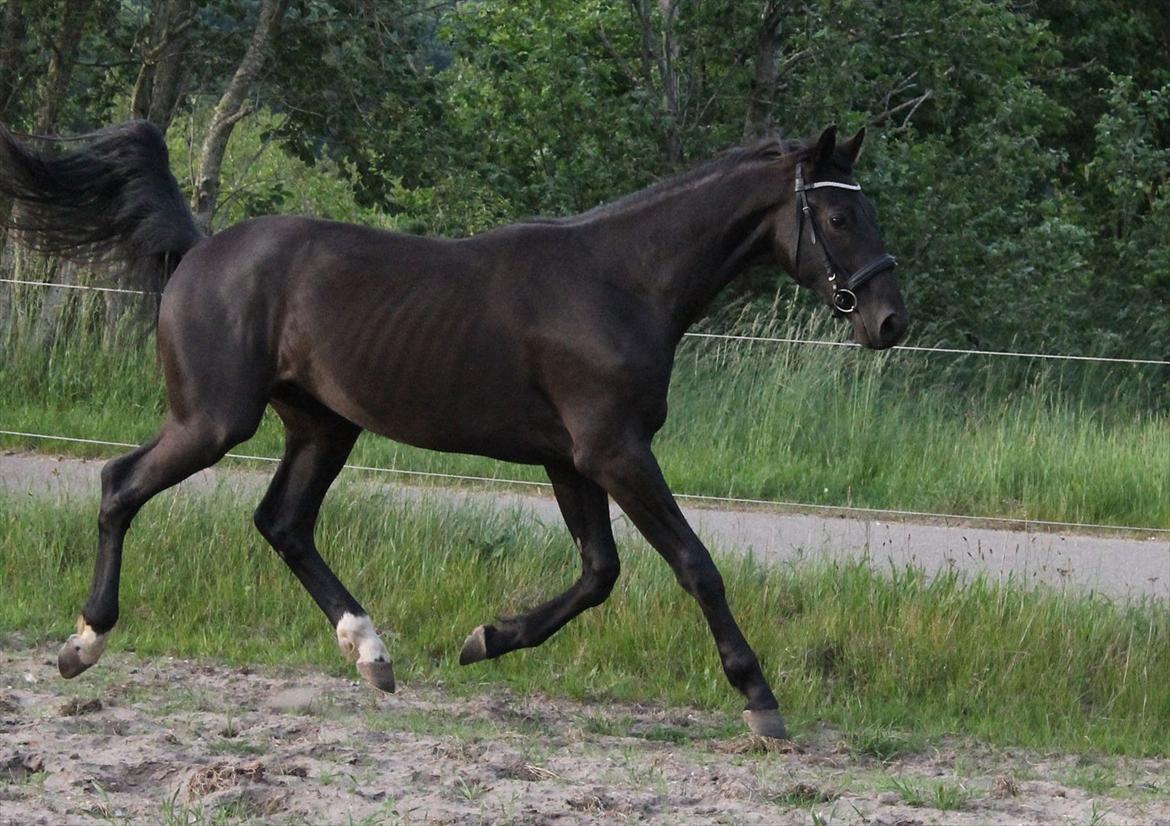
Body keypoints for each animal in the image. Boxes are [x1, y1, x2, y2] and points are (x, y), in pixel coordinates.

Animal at [0, 119, 907, 734]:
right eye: (835, 218)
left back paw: (373, 655)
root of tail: (198, 252)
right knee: (121, 484)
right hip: (215, 419)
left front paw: (485, 639)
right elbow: (694, 565)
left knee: (282, 523)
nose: (890, 321)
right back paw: (83, 643)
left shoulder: (572, 459)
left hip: (322, 427)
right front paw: (760, 700)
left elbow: (599, 573)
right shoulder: (614, 451)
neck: (621, 282)